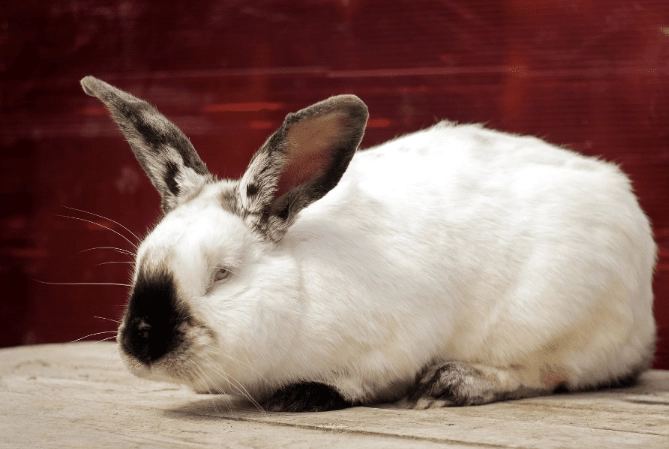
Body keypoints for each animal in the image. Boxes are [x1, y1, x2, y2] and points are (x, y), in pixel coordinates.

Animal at [80, 76, 657, 412]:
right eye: (141, 263)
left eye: (222, 274)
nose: (141, 343)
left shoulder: (390, 347)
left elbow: (364, 381)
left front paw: (304, 394)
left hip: (552, 323)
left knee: (552, 373)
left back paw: (453, 384)